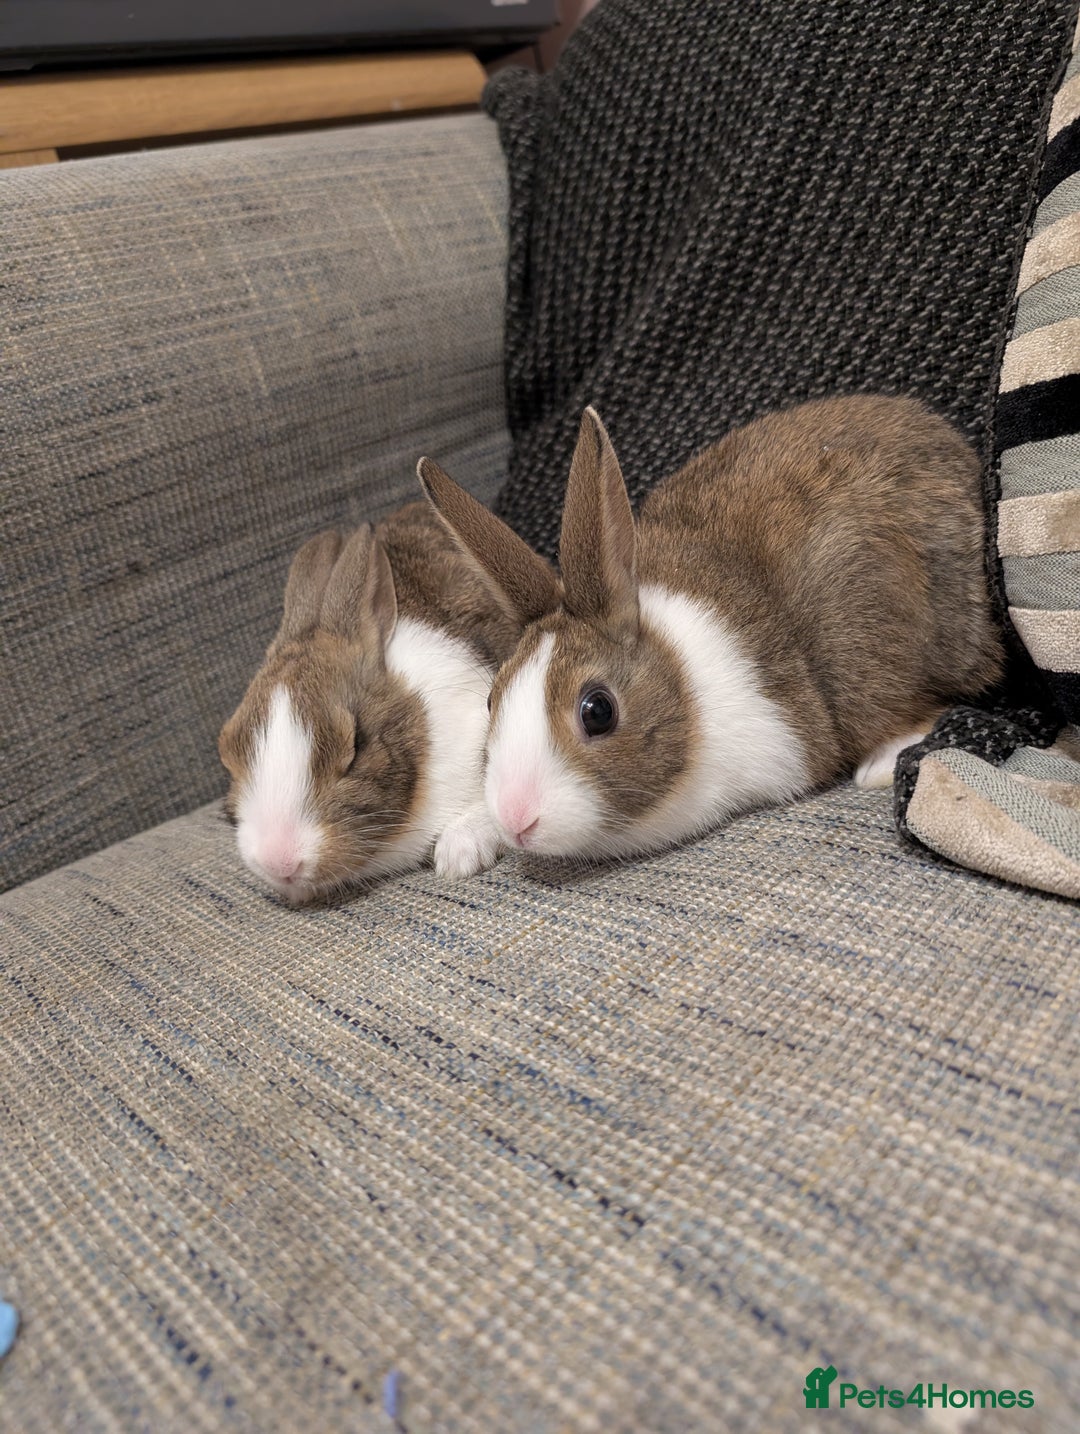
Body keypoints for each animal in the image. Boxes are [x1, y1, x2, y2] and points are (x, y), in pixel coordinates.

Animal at [418, 394, 1005, 863]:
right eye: (491, 702)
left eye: (597, 711)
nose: (518, 820)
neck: (681, 684)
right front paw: (460, 849)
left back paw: (879, 764)